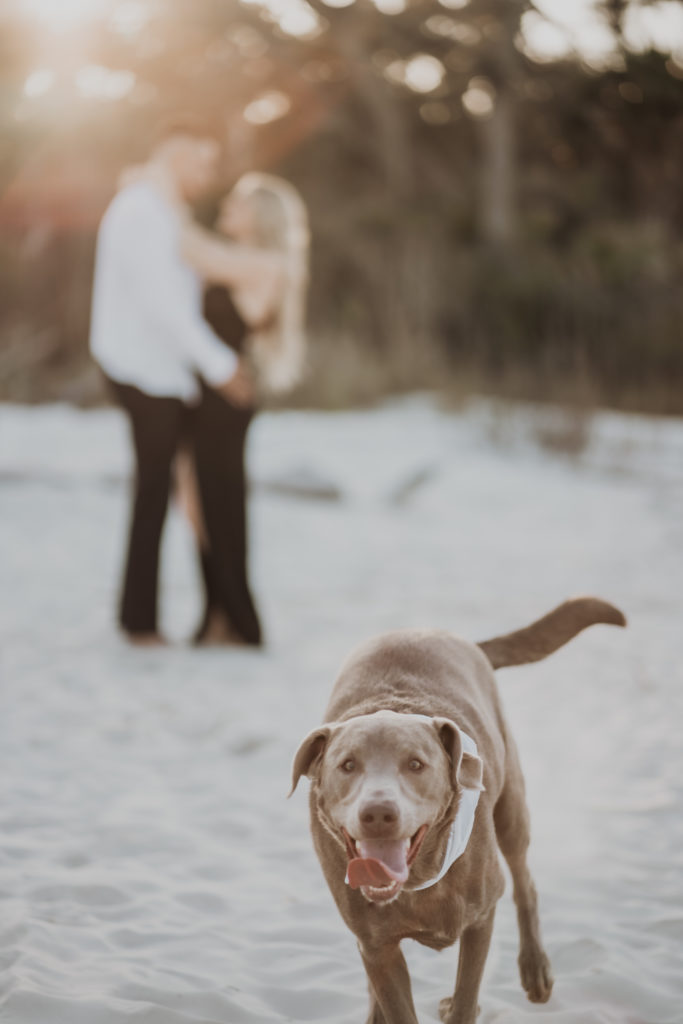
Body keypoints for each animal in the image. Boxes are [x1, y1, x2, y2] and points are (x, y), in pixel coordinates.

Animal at [290, 598, 626, 1024]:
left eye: (416, 764)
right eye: (347, 765)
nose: (378, 814)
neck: (417, 879)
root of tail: (456, 638)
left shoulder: (480, 920)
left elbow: (468, 993)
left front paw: (461, 1004)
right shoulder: (377, 948)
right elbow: (396, 1005)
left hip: (511, 808)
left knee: (525, 881)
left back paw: (534, 966)